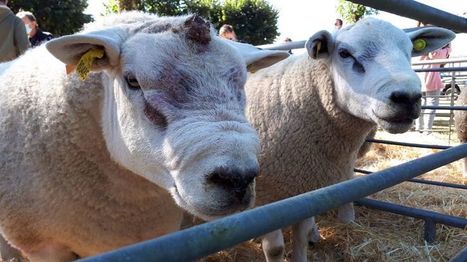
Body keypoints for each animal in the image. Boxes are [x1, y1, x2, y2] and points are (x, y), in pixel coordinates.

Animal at [247, 18, 456, 262]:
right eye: (344, 53)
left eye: (410, 50)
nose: (407, 98)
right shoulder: (266, 199)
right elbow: (275, 248)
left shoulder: (306, 191)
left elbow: (301, 235)